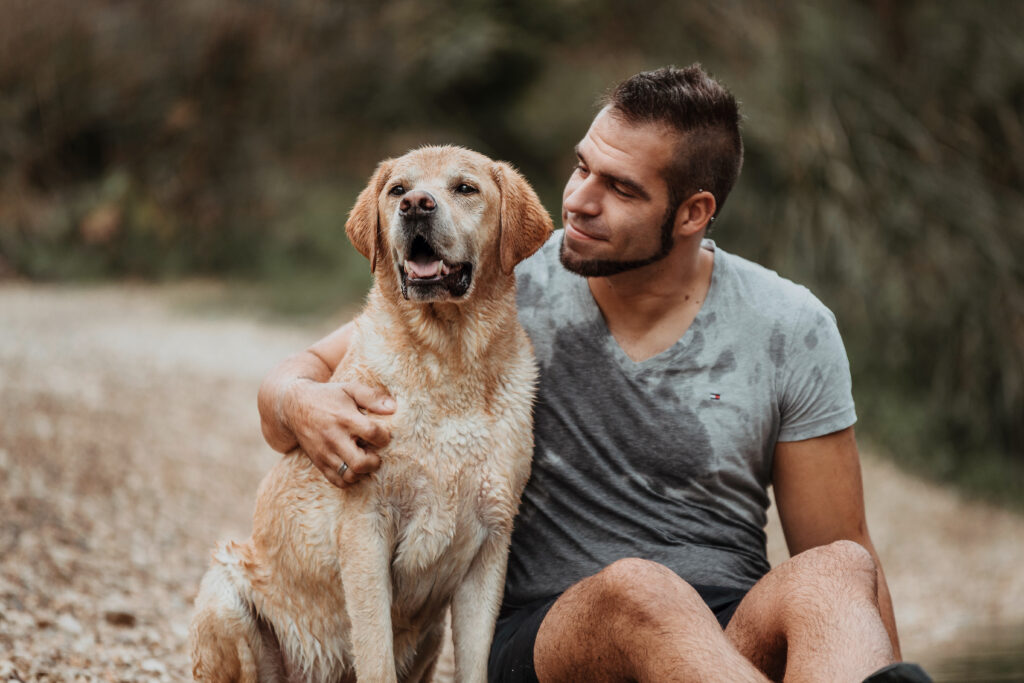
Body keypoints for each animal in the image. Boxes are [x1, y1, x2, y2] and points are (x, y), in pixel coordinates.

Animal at [190, 145, 552, 683]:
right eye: (398, 189)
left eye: (465, 188)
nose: (417, 205)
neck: (448, 359)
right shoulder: (365, 530)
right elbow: (375, 653)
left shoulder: (490, 544)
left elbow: (474, 663)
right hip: (224, 592)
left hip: (431, 634)